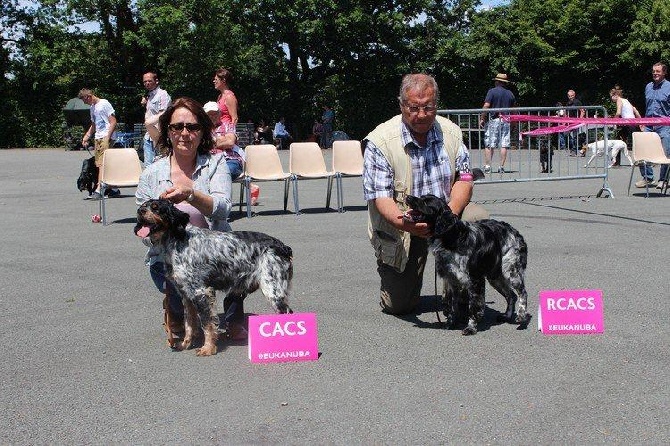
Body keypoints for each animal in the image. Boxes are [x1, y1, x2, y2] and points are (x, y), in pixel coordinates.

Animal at [135, 199, 294, 356]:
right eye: (143, 206)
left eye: (156, 208)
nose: (140, 211)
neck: (178, 239)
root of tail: (282, 246)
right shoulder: (186, 296)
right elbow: (189, 324)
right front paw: (185, 344)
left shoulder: (201, 292)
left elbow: (207, 324)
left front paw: (208, 348)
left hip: (273, 291)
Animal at [404, 195, 532, 334]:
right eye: (421, 197)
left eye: (426, 202)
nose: (408, 196)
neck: (452, 238)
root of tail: (515, 232)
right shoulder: (452, 280)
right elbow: (453, 306)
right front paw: (450, 323)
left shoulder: (474, 280)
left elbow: (473, 307)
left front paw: (471, 327)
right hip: (495, 277)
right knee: (511, 295)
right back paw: (507, 316)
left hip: (511, 270)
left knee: (522, 292)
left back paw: (521, 316)